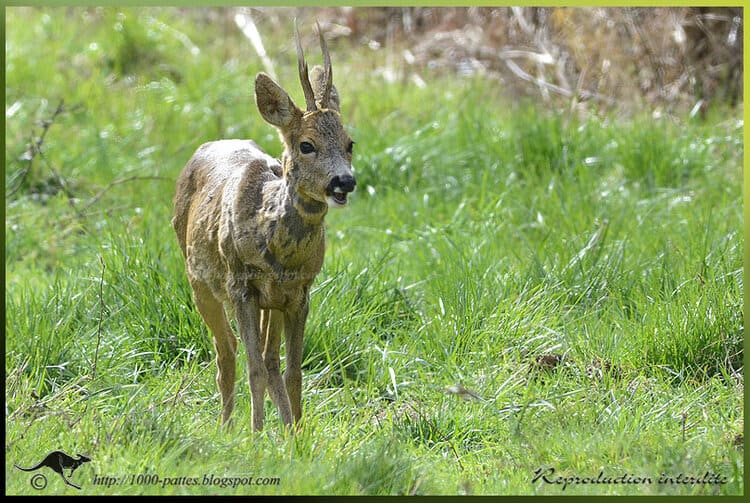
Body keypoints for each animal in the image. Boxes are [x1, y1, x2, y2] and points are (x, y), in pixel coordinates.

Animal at [173, 23, 356, 432]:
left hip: (269, 303)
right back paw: (226, 427)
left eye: (350, 143)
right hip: (200, 281)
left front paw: (297, 434)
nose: (344, 181)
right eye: (306, 145)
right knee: (226, 353)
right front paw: (255, 435)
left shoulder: (300, 291)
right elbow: (254, 368)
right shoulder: (240, 285)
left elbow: (291, 372)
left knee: (267, 360)